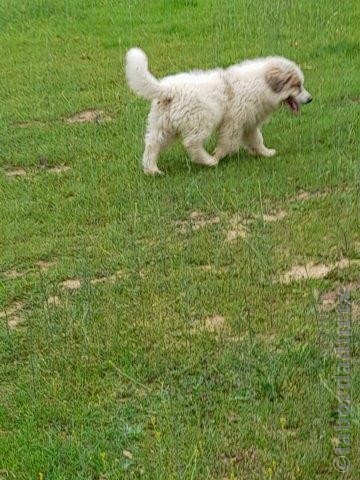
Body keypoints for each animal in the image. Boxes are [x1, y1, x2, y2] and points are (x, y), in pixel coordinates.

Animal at [125, 47, 310, 175]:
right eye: (297, 85)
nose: (310, 99)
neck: (261, 84)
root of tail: (169, 90)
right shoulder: (233, 122)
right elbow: (228, 142)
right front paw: (219, 154)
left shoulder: (249, 124)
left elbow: (257, 140)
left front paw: (265, 153)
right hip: (200, 120)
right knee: (191, 143)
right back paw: (209, 161)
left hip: (162, 126)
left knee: (152, 145)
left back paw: (152, 170)